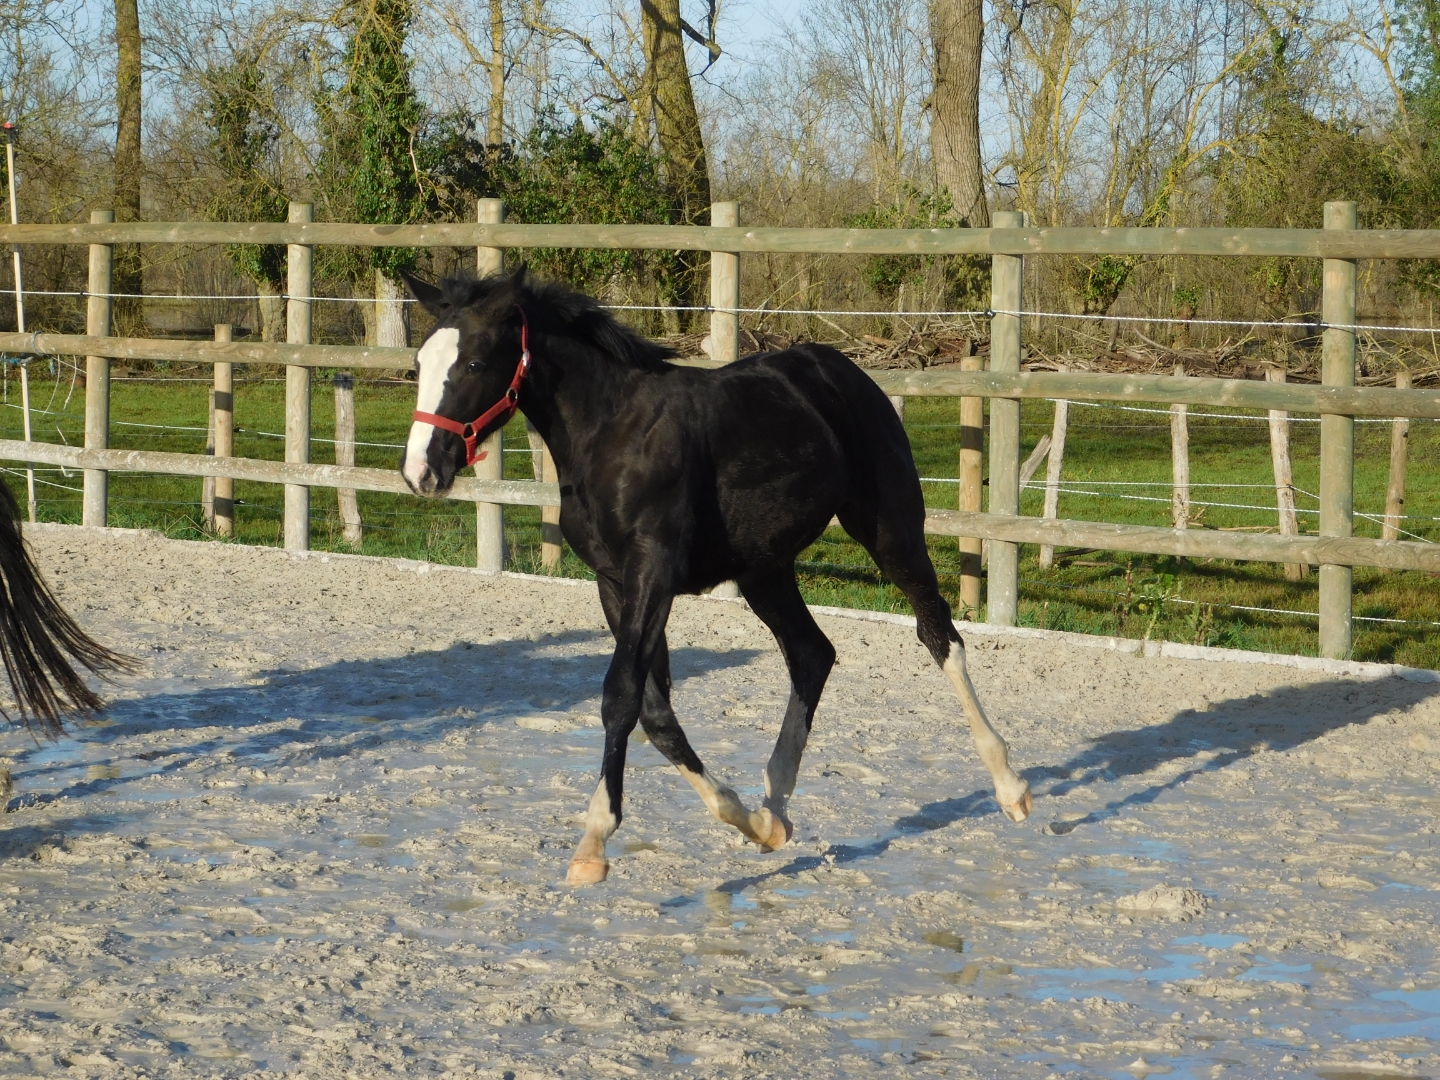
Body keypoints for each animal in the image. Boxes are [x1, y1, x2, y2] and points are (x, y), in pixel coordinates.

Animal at [400, 267, 1032, 885]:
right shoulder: (613, 582)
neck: (612, 434)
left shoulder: (652, 572)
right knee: (812, 653)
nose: (420, 472)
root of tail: (842, 370)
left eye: (474, 364)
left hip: (889, 530)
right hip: (764, 569)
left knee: (938, 634)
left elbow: (620, 696)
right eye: (419, 365)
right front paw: (750, 822)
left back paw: (1010, 787)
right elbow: (654, 712)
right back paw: (775, 805)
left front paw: (593, 845)